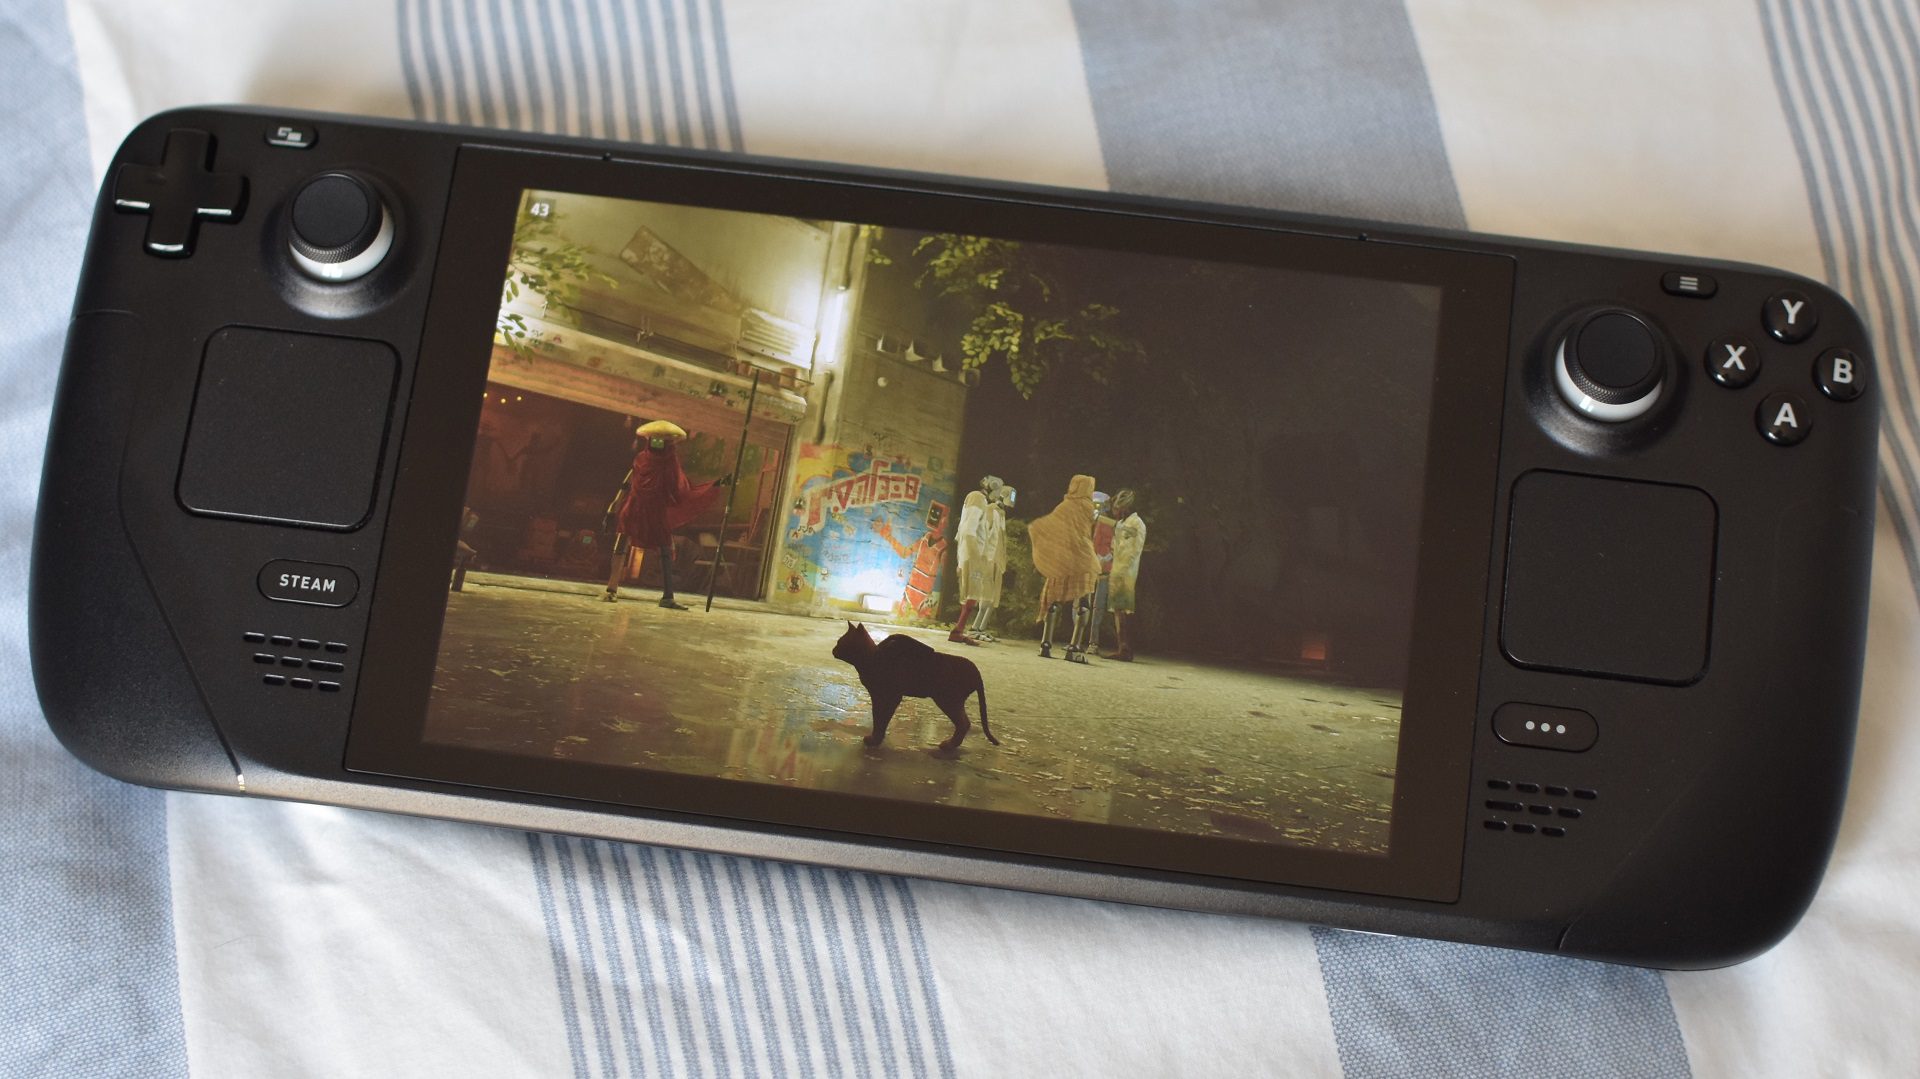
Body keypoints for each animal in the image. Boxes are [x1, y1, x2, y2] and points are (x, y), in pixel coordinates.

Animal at [832, 622, 999, 752]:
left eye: (840, 642)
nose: (833, 650)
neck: (871, 658)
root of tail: (975, 670)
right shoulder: (878, 697)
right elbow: (878, 717)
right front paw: (876, 738)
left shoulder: (891, 696)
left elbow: (881, 719)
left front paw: (875, 740)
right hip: (950, 701)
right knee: (965, 723)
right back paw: (951, 745)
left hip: (947, 700)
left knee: (964, 723)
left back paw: (949, 745)